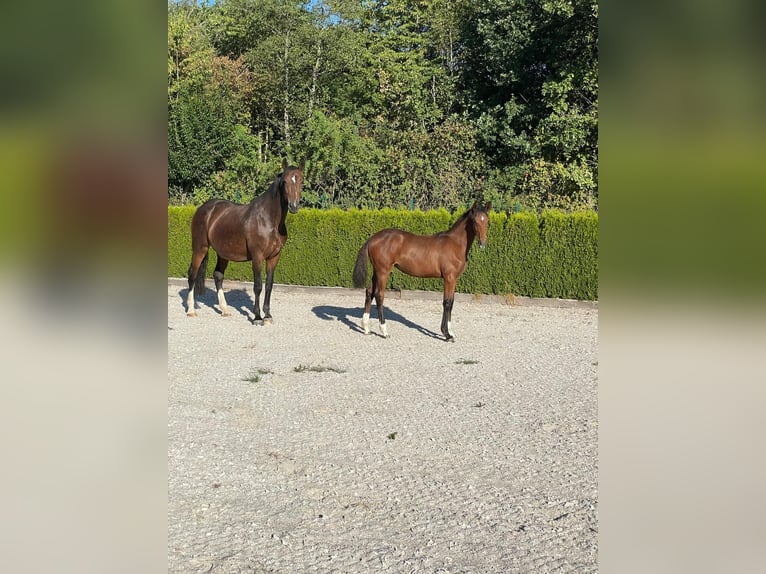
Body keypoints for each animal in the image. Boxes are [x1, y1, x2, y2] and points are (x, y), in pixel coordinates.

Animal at [186, 159, 305, 324]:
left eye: (301, 180)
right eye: (285, 182)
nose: (294, 206)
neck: (268, 220)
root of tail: (203, 208)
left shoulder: (274, 257)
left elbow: (269, 286)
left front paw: (268, 315)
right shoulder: (257, 256)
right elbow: (258, 286)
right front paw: (257, 317)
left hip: (223, 253)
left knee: (218, 276)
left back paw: (225, 310)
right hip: (200, 248)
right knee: (192, 274)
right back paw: (191, 310)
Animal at [352, 201, 491, 341]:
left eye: (487, 221)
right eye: (475, 221)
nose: (482, 243)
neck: (455, 244)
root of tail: (372, 238)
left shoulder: (454, 279)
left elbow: (451, 303)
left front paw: (450, 333)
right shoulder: (449, 278)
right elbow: (447, 303)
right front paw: (446, 334)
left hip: (377, 271)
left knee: (369, 292)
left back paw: (366, 328)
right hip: (383, 272)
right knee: (379, 295)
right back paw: (384, 331)